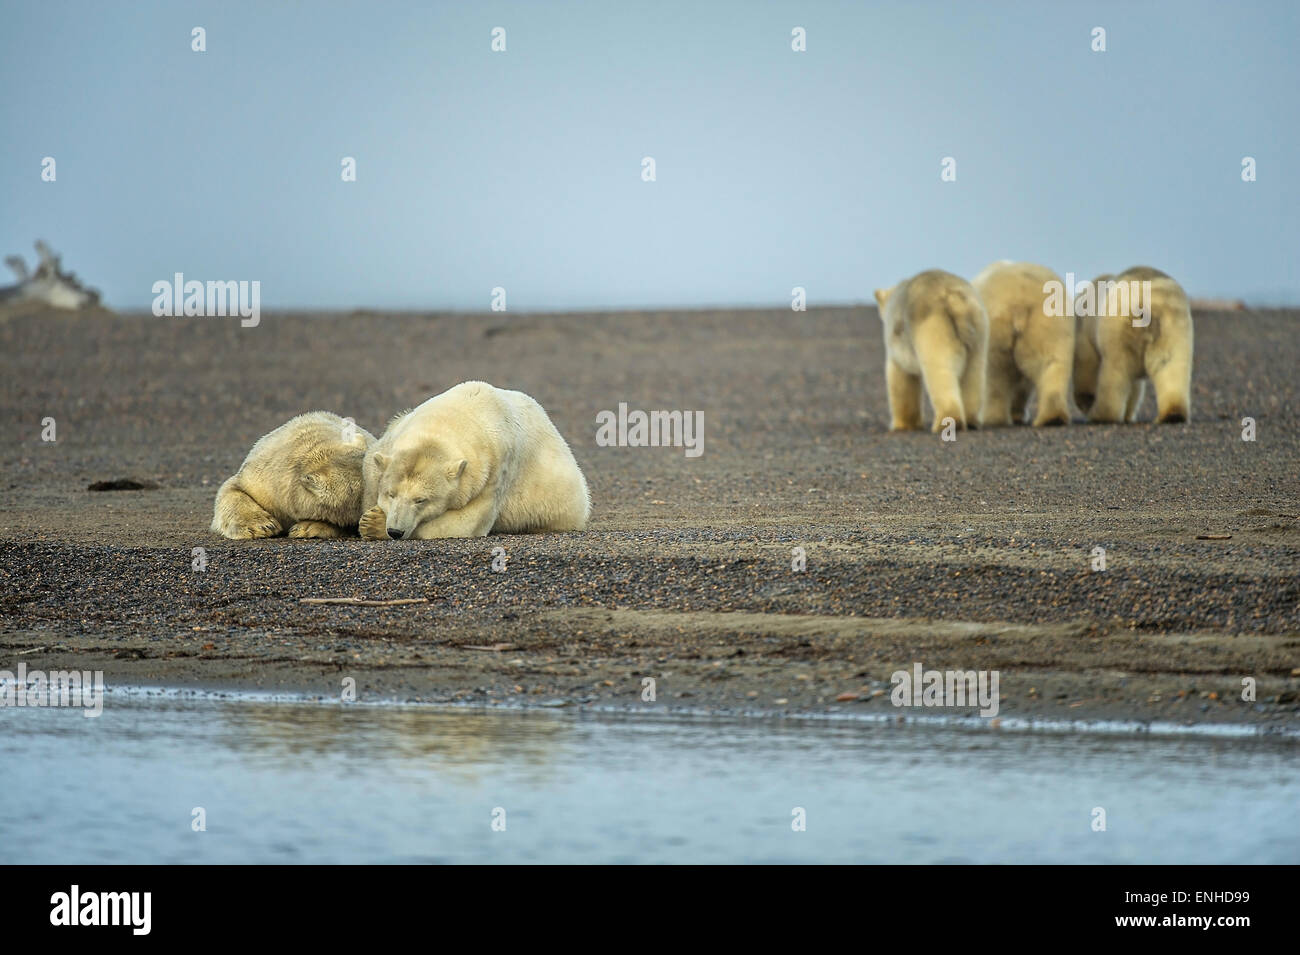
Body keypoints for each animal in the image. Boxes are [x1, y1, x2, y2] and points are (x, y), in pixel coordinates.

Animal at [361, 384, 595, 540]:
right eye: (391, 494)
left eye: (421, 500)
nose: (395, 531)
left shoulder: (496, 469)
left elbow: (467, 523)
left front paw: (373, 523)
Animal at [878, 270, 987, 431]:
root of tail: (954, 300)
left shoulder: (896, 343)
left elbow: (901, 378)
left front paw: (902, 425)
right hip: (978, 327)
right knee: (974, 373)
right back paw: (971, 421)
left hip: (933, 327)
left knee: (940, 372)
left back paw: (946, 422)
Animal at [977, 259, 1076, 428]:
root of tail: (1020, 302)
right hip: (1049, 322)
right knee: (1051, 361)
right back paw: (1053, 417)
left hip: (997, 326)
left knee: (995, 371)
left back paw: (993, 418)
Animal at [1071, 265, 1190, 420]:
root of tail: (1147, 306)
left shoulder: (1084, 333)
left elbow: (1086, 366)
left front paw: (1087, 401)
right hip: (1172, 326)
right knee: (1170, 365)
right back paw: (1173, 414)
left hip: (1119, 327)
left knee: (1115, 372)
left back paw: (1101, 415)